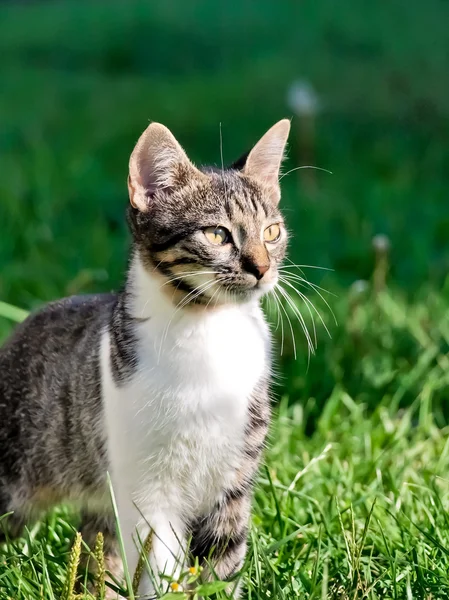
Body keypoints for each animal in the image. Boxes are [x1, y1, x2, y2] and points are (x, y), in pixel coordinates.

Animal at [0, 117, 290, 596]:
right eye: (217, 234)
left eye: (272, 232)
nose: (263, 268)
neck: (207, 331)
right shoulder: (147, 488)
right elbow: (157, 563)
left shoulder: (234, 480)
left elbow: (223, 563)